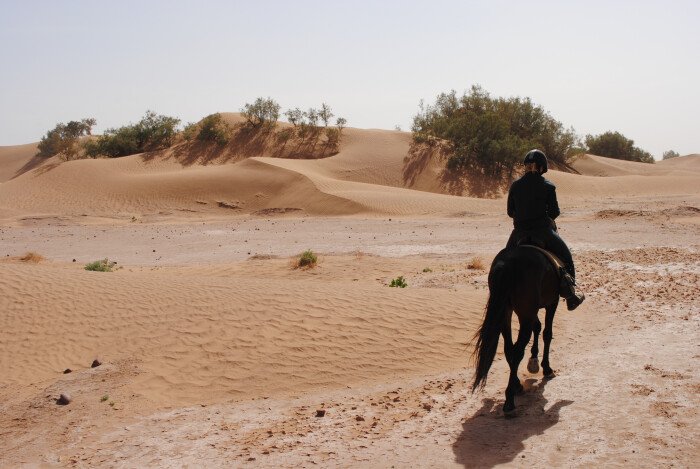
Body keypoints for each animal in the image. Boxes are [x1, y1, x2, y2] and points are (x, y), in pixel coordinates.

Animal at [470, 245, 564, 414]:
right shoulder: (553, 302)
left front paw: (534, 359)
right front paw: (546, 368)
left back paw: (517, 385)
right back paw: (509, 401)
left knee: (509, 348)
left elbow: (538, 327)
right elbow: (547, 333)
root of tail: (506, 264)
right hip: (525, 313)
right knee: (518, 350)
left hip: (505, 312)